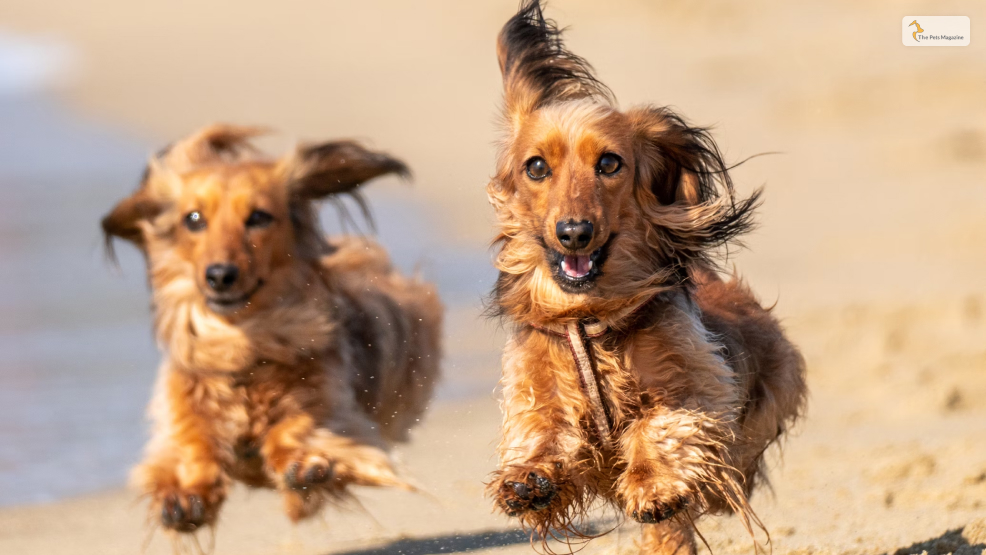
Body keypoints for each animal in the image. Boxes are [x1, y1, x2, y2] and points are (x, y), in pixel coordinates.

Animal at [102, 125, 440, 536]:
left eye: (259, 217)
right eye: (193, 219)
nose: (219, 276)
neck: (243, 346)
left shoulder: (331, 406)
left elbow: (295, 430)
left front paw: (306, 464)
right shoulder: (187, 405)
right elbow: (193, 447)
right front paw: (185, 493)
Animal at [486, 2, 808, 552]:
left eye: (609, 163)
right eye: (536, 167)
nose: (574, 232)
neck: (590, 319)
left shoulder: (700, 390)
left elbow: (661, 425)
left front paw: (654, 484)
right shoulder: (537, 385)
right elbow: (543, 429)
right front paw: (528, 478)